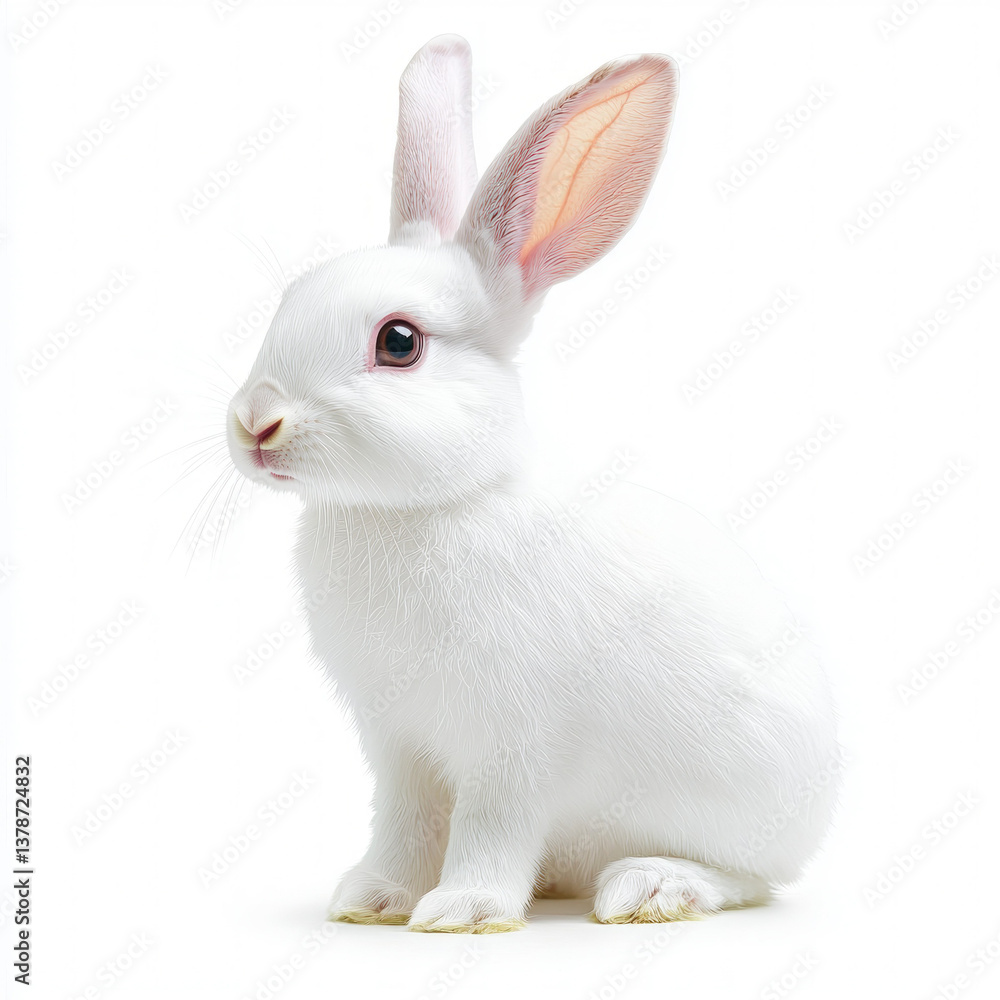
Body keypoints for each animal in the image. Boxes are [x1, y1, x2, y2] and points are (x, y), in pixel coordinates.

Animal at [225, 34, 840, 933]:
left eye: (399, 342)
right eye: (287, 300)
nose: (254, 422)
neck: (433, 504)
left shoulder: (512, 741)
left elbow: (491, 821)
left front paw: (464, 909)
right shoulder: (398, 744)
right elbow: (405, 824)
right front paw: (372, 898)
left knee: (751, 879)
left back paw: (650, 887)